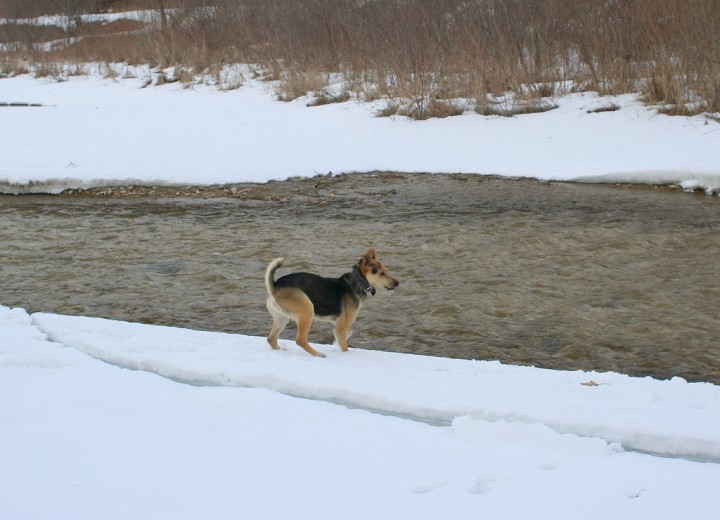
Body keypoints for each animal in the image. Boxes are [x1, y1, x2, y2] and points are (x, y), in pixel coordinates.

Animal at [264, 249, 400, 358]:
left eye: (386, 271)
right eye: (381, 273)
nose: (397, 283)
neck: (357, 282)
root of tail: (275, 286)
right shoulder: (341, 328)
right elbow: (344, 346)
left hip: (282, 318)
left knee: (271, 339)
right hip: (307, 310)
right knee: (300, 340)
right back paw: (318, 354)